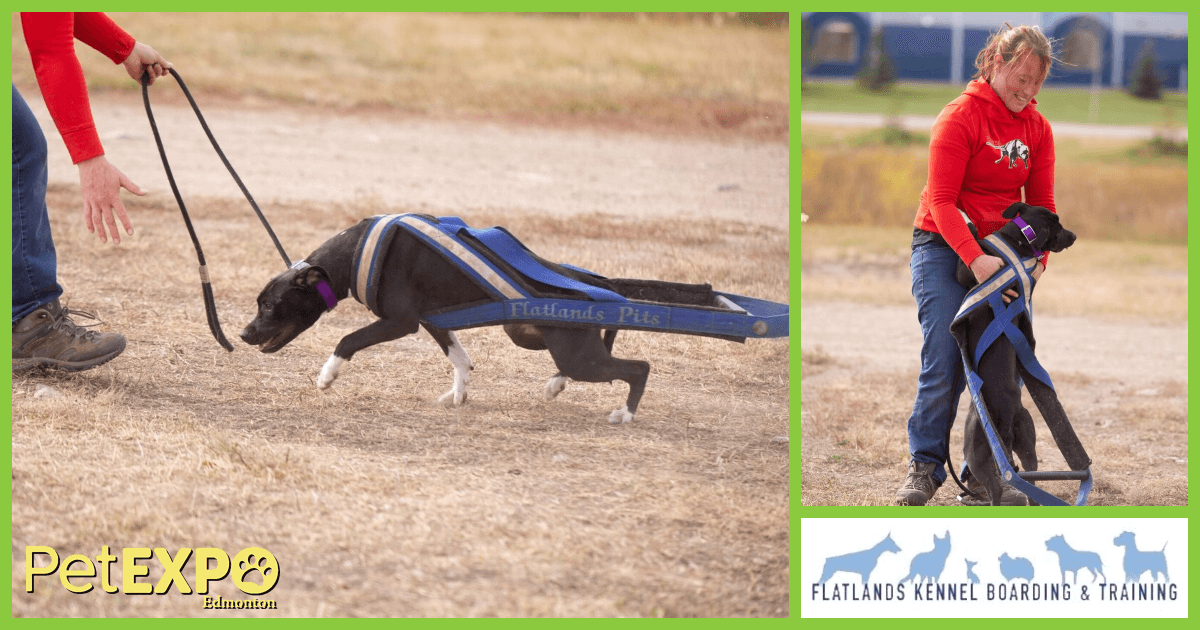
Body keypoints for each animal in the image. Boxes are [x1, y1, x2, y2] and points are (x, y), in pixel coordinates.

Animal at [240, 216, 652, 422]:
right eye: (259, 302)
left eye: (270, 305)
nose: (243, 335)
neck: (352, 252)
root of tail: (595, 284)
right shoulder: (432, 320)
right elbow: (460, 359)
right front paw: (458, 393)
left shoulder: (401, 322)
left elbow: (347, 340)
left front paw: (327, 375)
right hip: (534, 335)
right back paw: (556, 385)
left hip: (571, 351)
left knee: (639, 368)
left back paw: (626, 414)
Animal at [955, 202, 1080, 506]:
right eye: (1059, 227)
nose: (1074, 236)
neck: (1018, 242)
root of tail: (1004, 421)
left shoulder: (966, 272)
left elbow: (969, 249)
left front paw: (968, 224)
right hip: (1028, 440)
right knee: (1031, 481)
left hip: (975, 449)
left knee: (996, 489)